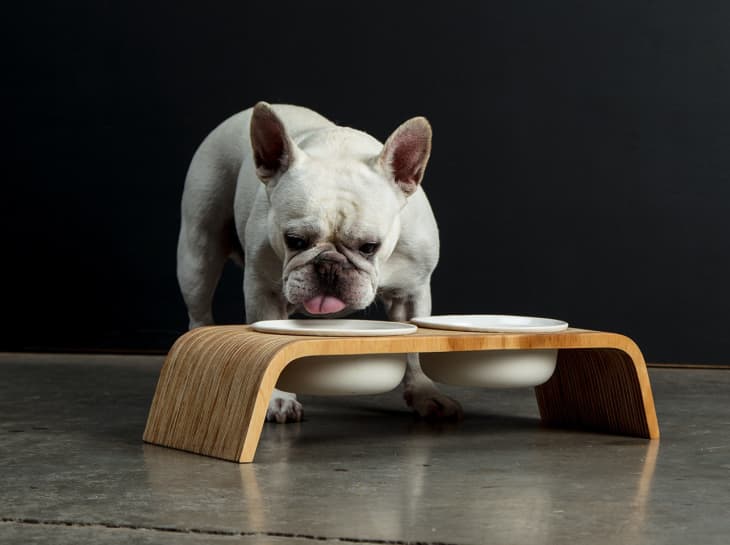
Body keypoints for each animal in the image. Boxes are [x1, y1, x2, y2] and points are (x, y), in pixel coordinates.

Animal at [176, 104, 460, 422]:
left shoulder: (412, 292)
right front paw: (278, 398)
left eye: (370, 247)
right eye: (294, 241)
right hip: (198, 254)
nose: (329, 265)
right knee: (199, 309)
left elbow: (416, 350)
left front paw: (424, 393)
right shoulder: (263, 290)